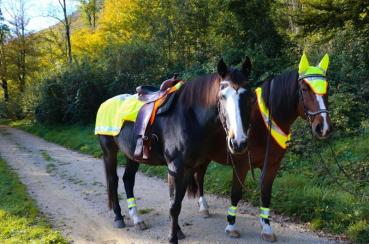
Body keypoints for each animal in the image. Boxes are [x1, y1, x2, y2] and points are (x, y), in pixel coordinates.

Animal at [97, 58, 253, 243]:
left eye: (249, 95)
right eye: (222, 96)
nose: (238, 143)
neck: (189, 117)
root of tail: (105, 103)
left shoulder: (188, 168)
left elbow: (178, 199)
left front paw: (177, 230)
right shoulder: (175, 168)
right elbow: (174, 205)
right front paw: (173, 237)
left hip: (132, 156)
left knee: (128, 180)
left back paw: (137, 218)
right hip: (109, 152)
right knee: (113, 181)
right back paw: (118, 217)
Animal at [191, 52, 332, 241]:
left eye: (327, 88)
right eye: (304, 89)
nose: (323, 128)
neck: (261, 125)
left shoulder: (271, 165)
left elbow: (265, 193)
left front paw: (266, 227)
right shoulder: (241, 165)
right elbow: (236, 193)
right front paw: (231, 225)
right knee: (199, 177)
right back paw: (203, 207)